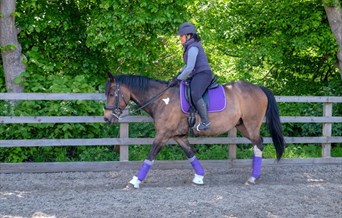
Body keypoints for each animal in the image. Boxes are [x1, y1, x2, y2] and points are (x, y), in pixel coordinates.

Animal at [103, 72, 284, 188]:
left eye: (112, 94)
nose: (106, 118)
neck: (163, 99)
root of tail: (258, 88)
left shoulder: (162, 135)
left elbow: (150, 156)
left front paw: (135, 181)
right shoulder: (178, 135)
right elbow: (190, 153)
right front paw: (199, 177)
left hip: (251, 125)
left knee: (259, 144)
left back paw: (253, 177)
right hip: (243, 126)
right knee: (257, 144)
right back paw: (254, 174)